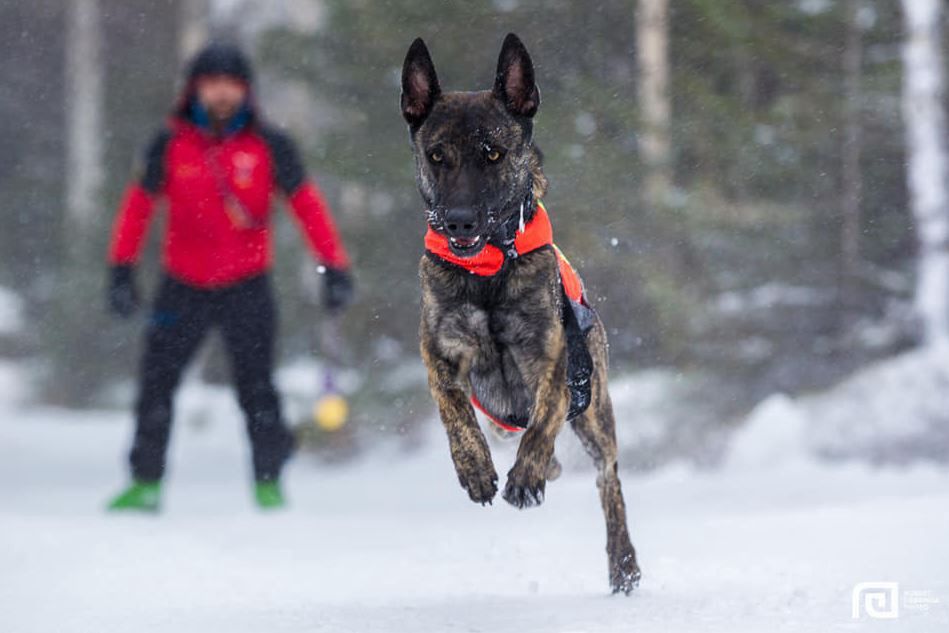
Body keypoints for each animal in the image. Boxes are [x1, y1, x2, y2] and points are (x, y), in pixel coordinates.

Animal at [400, 32, 644, 592]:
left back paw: (623, 562)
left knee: (608, 477)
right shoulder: (439, 354)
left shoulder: (554, 361)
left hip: (596, 413)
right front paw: (474, 469)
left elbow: (544, 421)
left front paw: (527, 476)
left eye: (493, 153)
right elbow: (454, 410)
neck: (489, 269)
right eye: (437, 155)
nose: (458, 221)